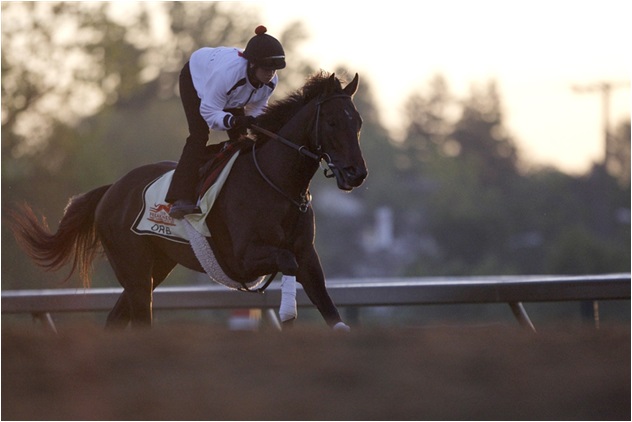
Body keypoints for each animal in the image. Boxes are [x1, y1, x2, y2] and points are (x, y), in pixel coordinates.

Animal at [7, 71, 368, 330]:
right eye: (332, 121)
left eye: (358, 122)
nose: (356, 173)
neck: (276, 182)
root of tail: (110, 190)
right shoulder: (243, 258)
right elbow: (286, 262)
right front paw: (288, 313)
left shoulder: (308, 256)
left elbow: (330, 310)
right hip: (135, 270)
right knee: (139, 319)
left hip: (157, 267)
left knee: (116, 319)